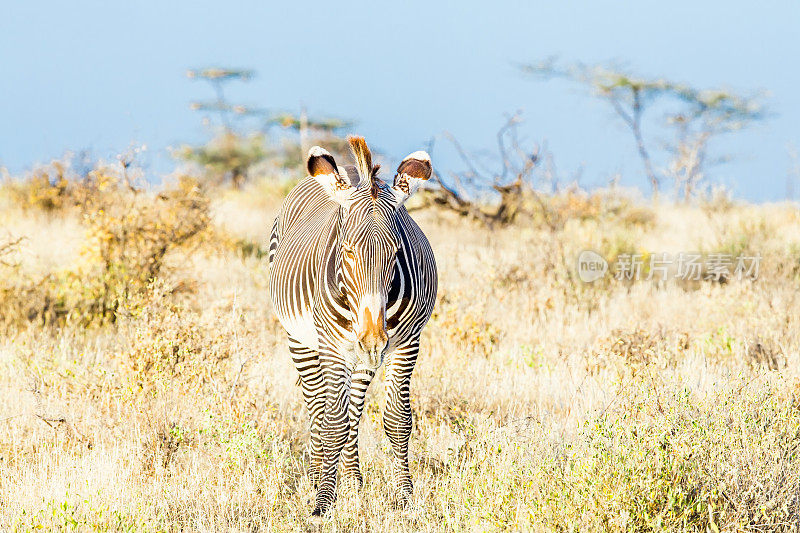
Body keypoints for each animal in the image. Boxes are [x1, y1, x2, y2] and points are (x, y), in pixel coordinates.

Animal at [268, 136, 438, 516]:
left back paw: (352, 482)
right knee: (317, 408)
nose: (373, 338)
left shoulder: (407, 344)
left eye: (395, 252)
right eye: (347, 251)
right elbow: (331, 422)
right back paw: (318, 477)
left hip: (361, 357)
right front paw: (322, 503)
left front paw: (405, 498)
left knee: (352, 413)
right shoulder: (332, 347)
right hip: (302, 340)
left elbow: (397, 420)